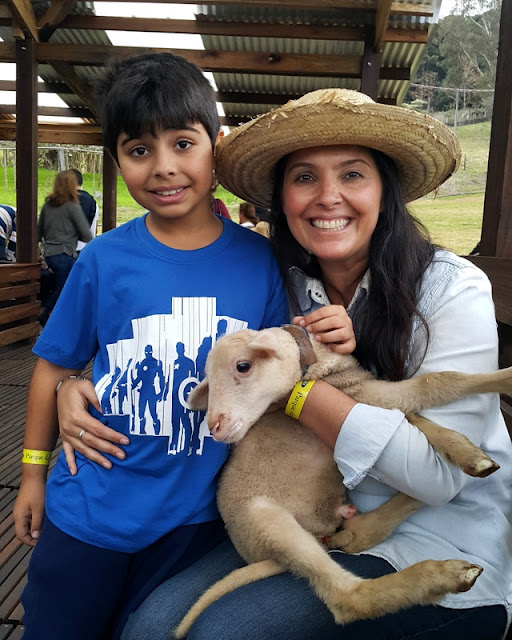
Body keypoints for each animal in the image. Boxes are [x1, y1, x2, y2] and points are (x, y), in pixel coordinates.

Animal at [174, 328, 510, 636]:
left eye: (242, 366)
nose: (215, 427)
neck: (316, 363)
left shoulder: (362, 395)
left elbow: (418, 415)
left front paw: (467, 453)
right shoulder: (363, 394)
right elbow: (438, 381)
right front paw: (505, 378)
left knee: (360, 535)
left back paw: (416, 502)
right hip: (266, 521)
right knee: (349, 598)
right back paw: (443, 575)